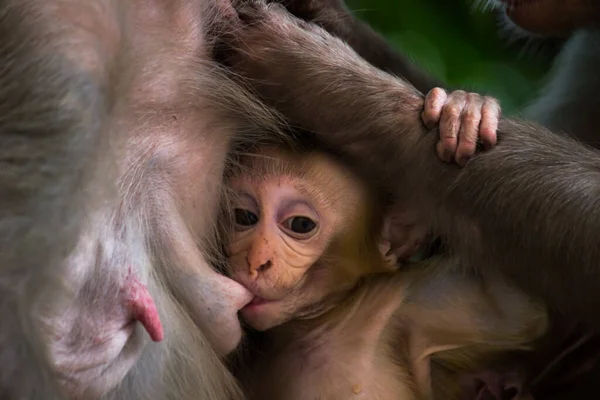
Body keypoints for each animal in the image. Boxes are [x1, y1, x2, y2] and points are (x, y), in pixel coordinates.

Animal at [225, 145, 548, 398]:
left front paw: (463, 115)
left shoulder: (407, 301)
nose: (256, 261)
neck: (315, 325)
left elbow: (518, 308)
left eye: (301, 224)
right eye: (244, 216)